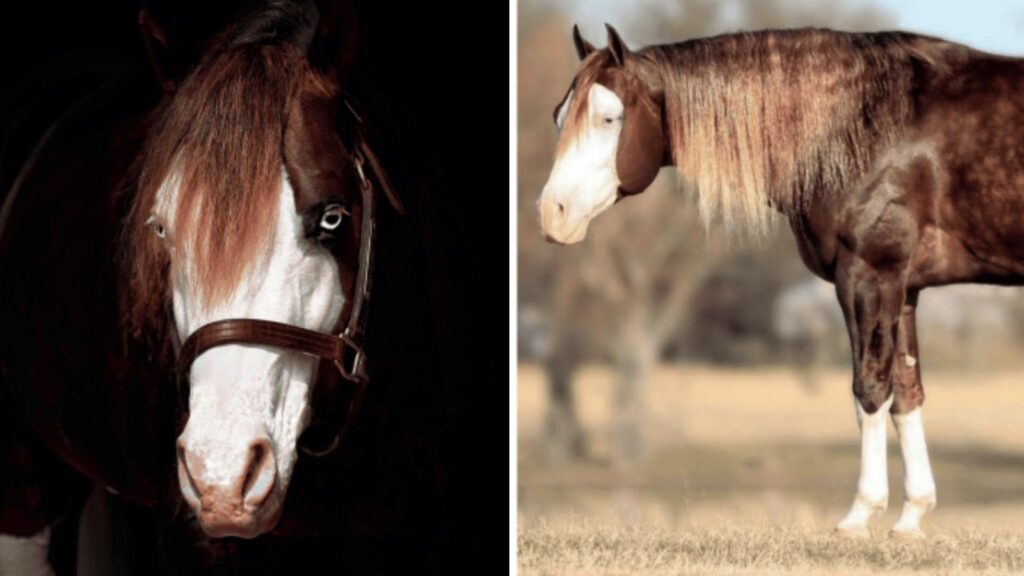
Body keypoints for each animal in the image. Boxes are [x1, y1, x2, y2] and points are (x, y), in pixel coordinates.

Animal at [537, 23, 1024, 539]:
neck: (859, 120)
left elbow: (869, 389)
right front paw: (911, 517)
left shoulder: (869, 274)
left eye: (609, 118)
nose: (552, 214)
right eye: (558, 116)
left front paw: (860, 514)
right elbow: (906, 393)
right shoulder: (904, 286)